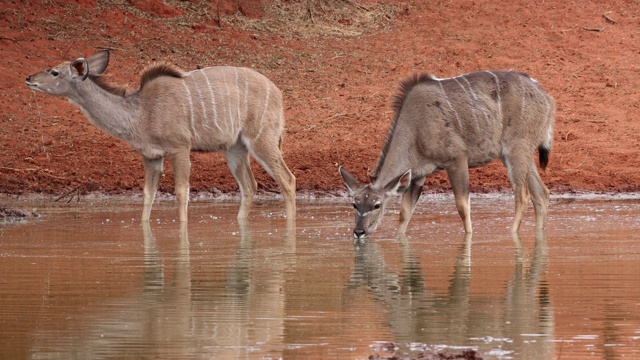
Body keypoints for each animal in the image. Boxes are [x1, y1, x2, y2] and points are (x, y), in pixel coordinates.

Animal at [24, 49, 296, 221]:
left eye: (54, 72)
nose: (29, 78)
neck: (142, 112)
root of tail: (278, 93)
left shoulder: (180, 148)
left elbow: (181, 193)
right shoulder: (151, 156)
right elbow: (148, 195)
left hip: (262, 140)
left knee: (287, 179)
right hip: (234, 148)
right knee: (250, 185)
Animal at [340, 70, 556, 239]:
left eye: (377, 205)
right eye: (354, 204)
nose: (359, 232)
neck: (415, 126)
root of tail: (547, 99)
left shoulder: (457, 159)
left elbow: (462, 206)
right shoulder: (418, 175)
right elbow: (405, 213)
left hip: (516, 151)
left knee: (523, 195)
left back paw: (511, 234)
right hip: (517, 155)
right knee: (541, 194)